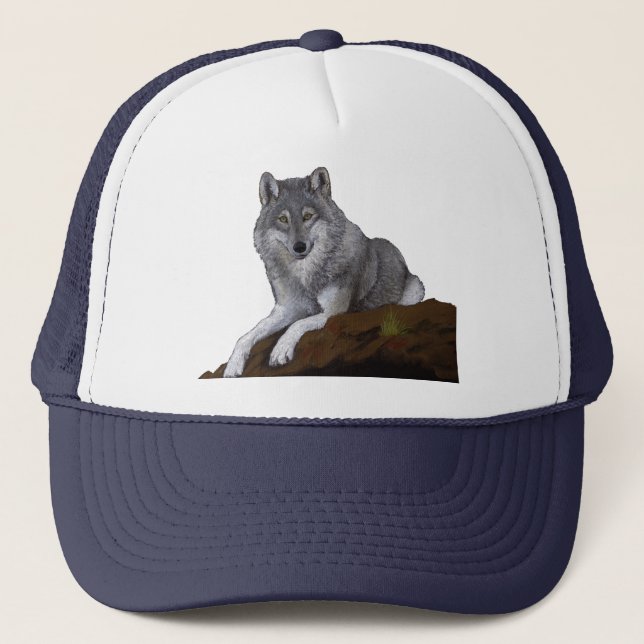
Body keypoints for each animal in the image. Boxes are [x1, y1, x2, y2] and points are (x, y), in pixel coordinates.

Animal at [222, 167, 425, 377]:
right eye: (283, 219)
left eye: (307, 216)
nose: (299, 247)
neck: (305, 276)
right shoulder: (287, 309)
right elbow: (249, 334)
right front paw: (233, 365)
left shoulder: (334, 311)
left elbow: (297, 324)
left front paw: (280, 350)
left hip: (414, 291)